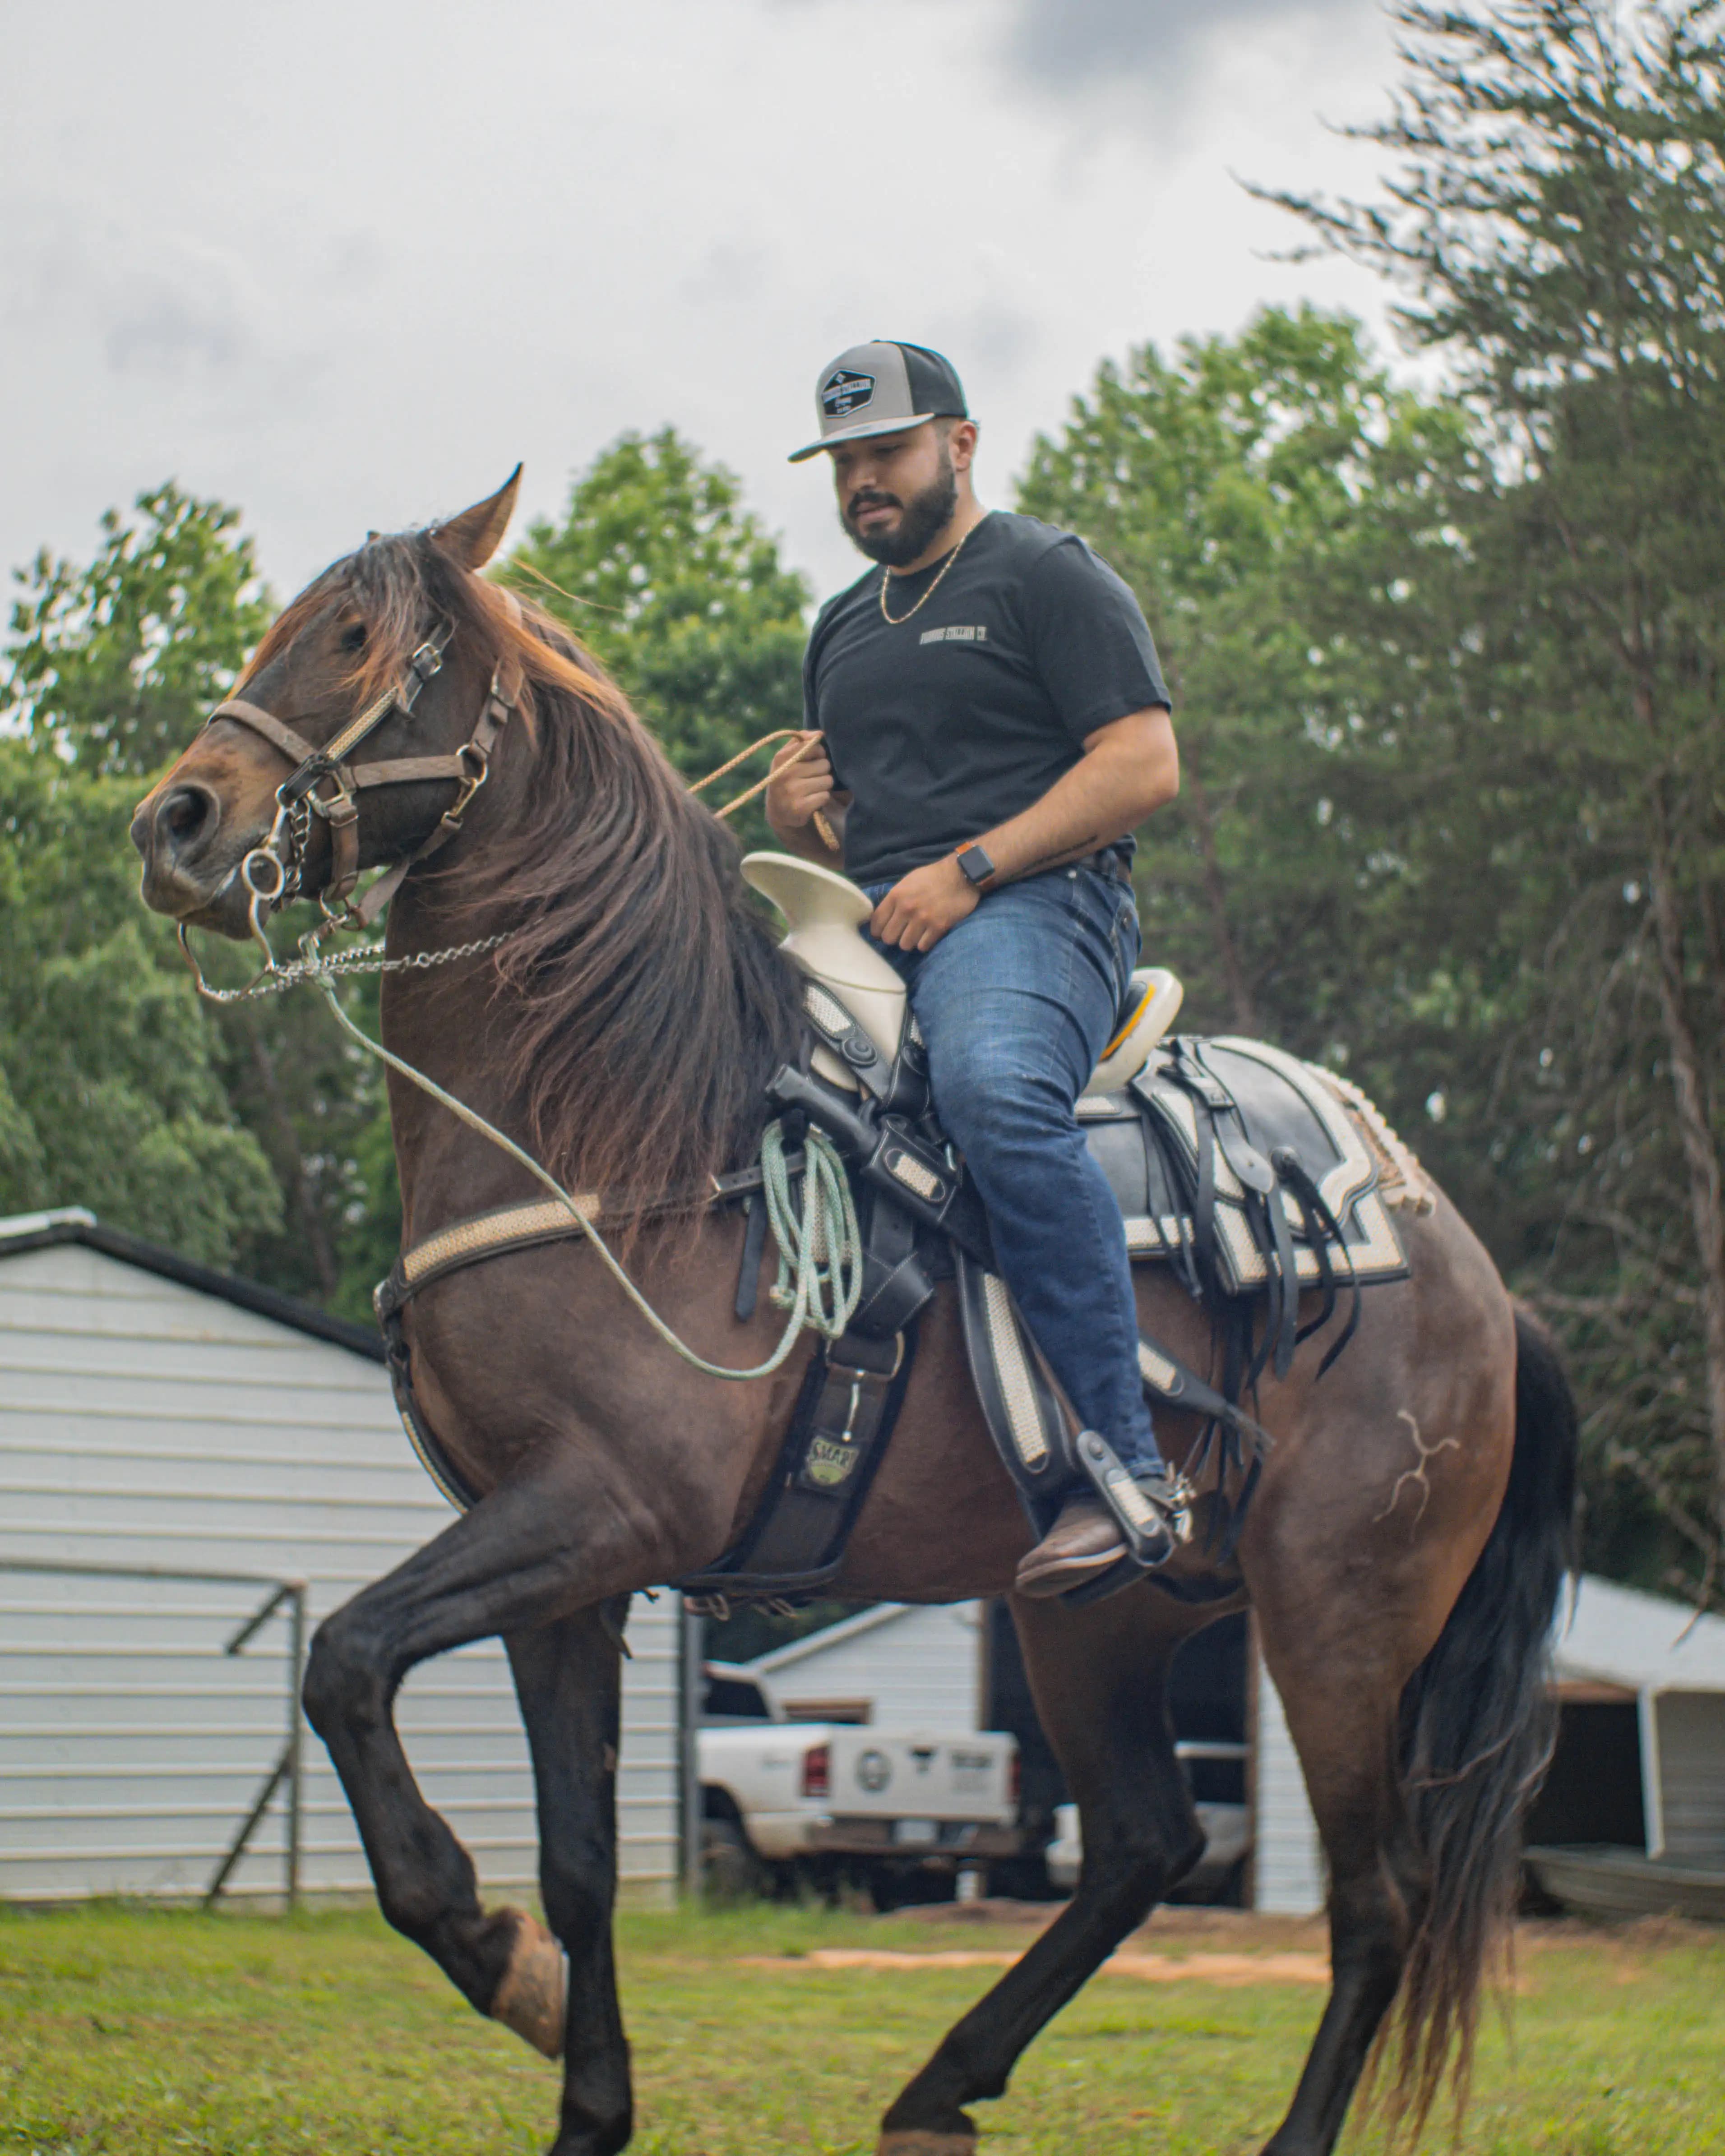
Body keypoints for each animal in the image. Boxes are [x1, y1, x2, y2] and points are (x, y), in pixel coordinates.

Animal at [131, 480, 1578, 2156]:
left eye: (358, 637)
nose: (174, 822)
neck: (628, 1123)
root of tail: (1465, 1266)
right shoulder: (558, 1569)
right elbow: (572, 1857)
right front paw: (579, 2083)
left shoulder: (603, 1510)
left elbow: (345, 1659)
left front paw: (496, 1957)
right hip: (1098, 1614)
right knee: (1141, 1840)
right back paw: (939, 2084)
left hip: (1342, 1613)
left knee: (1373, 1898)